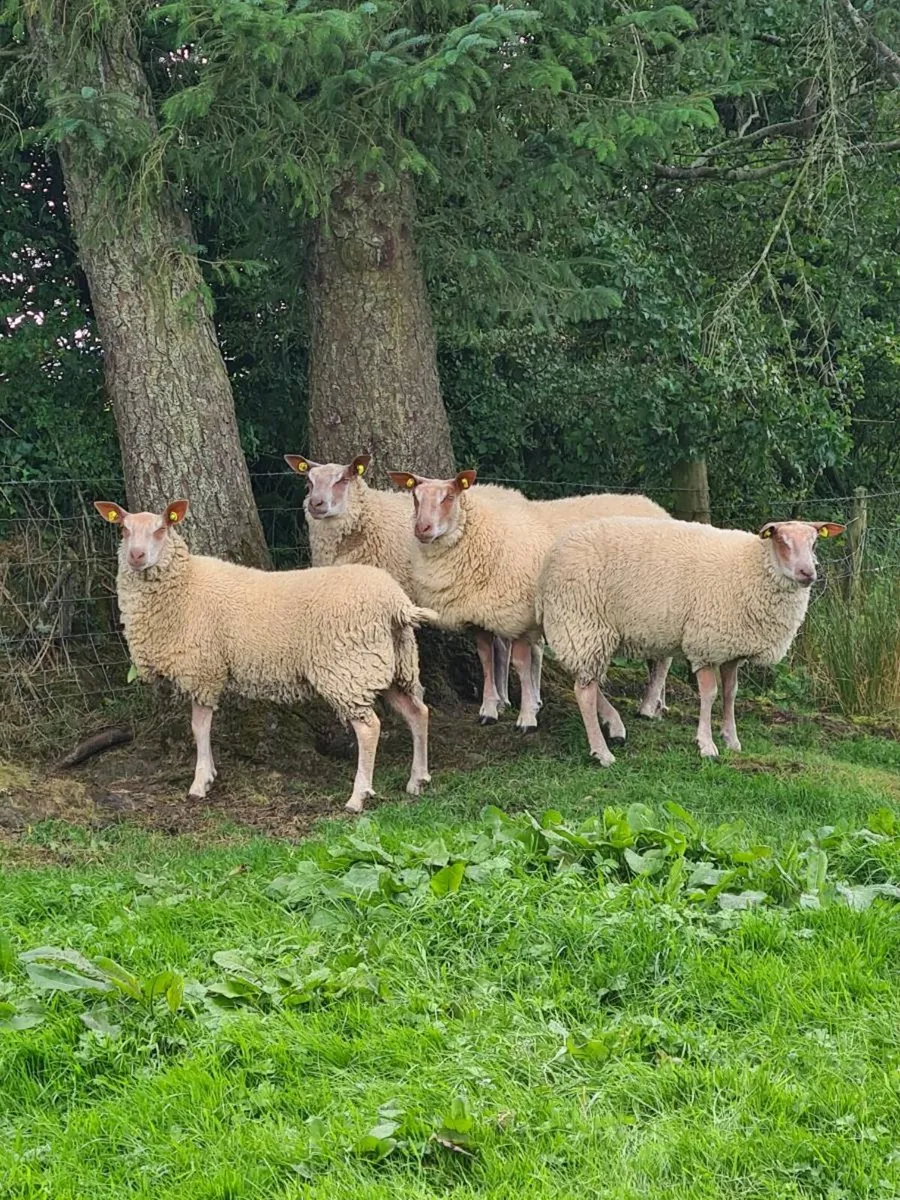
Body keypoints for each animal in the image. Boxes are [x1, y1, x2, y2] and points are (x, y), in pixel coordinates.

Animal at [93, 498, 436, 813]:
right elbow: (202, 726)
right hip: (391, 664)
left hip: (347, 668)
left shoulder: (203, 669)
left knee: (369, 728)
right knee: (418, 712)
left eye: (161, 529)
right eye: (124, 529)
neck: (184, 586)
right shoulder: (207, 670)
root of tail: (395, 602)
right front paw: (209, 774)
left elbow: (199, 727)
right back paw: (417, 780)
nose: (136, 556)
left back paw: (358, 796)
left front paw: (200, 782)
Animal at [284, 451, 513, 722]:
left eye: (342, 480)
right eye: (309, 482)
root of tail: (503, 489)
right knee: (502, 644)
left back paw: (498, 703)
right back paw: (503, 701)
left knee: (504, 645)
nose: (316, 504)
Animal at [536, 516, 845, 765]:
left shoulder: (732, 648)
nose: (808, 573)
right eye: (781, 540)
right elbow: (709, 695)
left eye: (815, 542)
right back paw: (602, 752)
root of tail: (551, 557)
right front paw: (706, 745)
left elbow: (731, 693)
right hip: (585, 622)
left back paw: (615, 726)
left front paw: (732, 740)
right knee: (584, 691)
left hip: (586, 632)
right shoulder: (705, 643)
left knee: (585, 680)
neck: (753, 567)